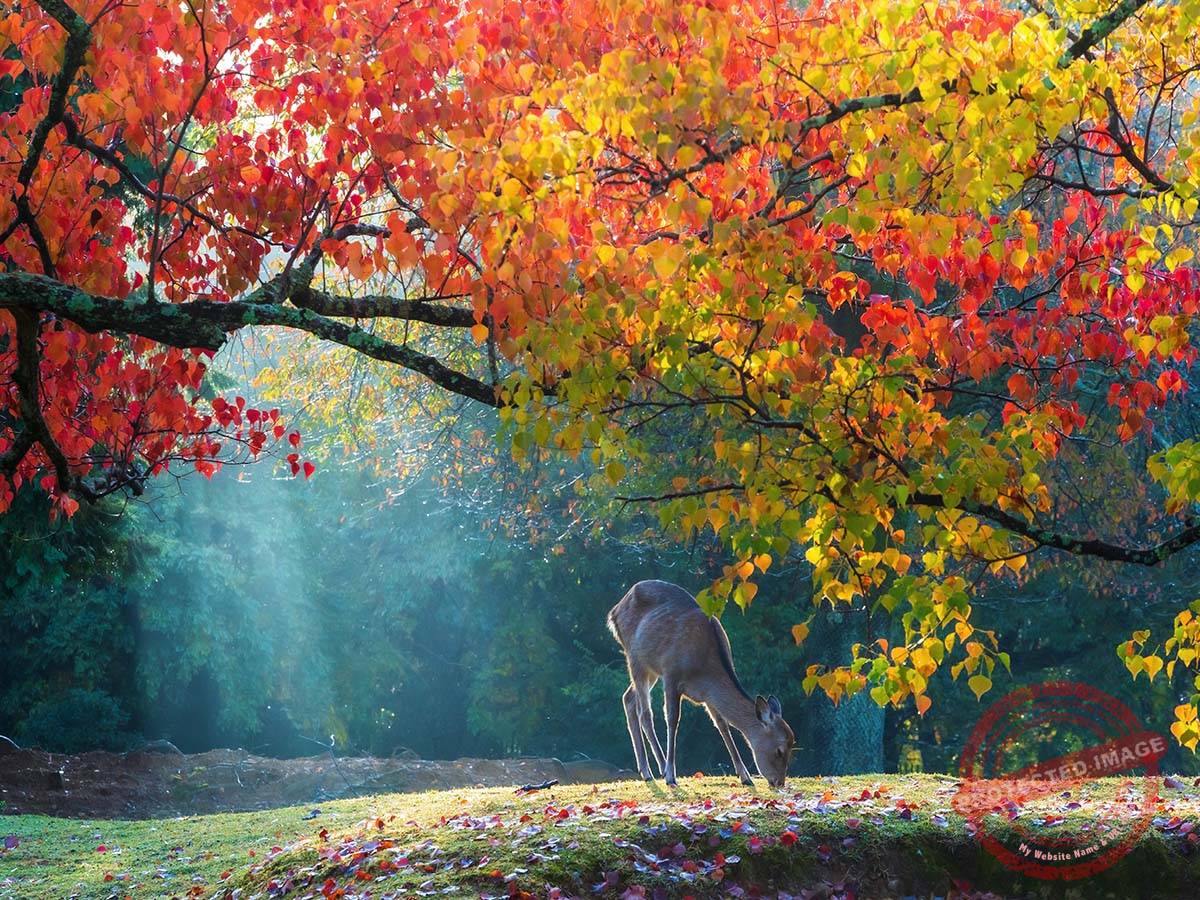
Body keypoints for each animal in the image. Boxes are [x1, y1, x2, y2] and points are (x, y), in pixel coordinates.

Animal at [607, 579, 795, 787]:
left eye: (792, 746)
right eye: (779, 750)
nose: (779, 782)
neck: (704, 669)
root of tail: (614, 611)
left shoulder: (708, 695)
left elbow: (722, 724)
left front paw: (745, 777)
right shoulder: (671, 674)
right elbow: (672, 719)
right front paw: (671, 775)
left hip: (651, 669)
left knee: (628, 698)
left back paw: (648, 769)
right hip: (635, 658)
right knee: (645, 713)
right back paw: (654, 771)